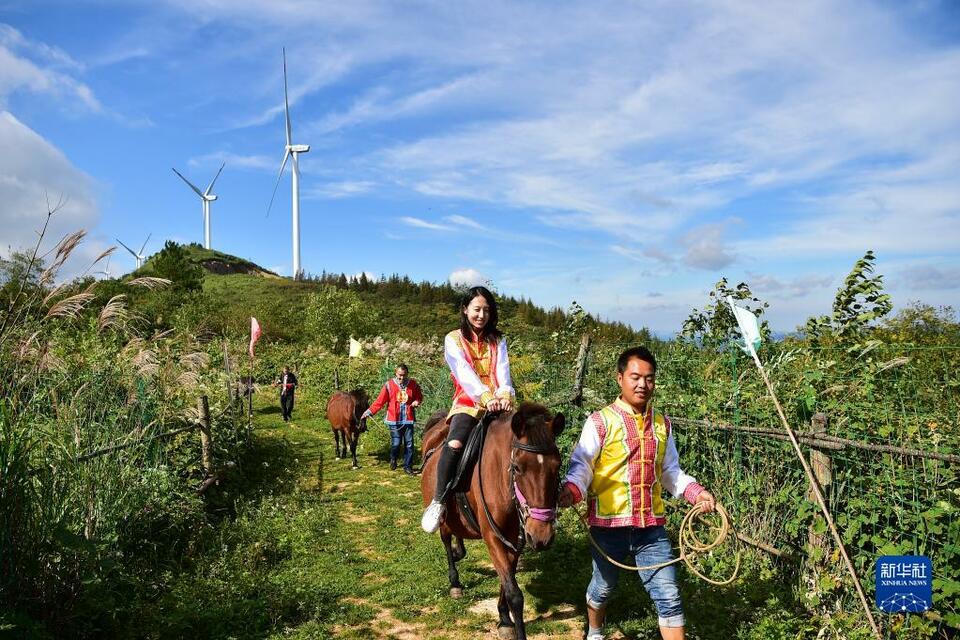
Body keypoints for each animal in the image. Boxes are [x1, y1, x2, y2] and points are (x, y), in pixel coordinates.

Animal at [420, 404, 564, 640]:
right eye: (517, 467)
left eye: (557, 466)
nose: (541, 536)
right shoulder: (493, 538)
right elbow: (515, 594)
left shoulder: (515, 540)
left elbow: (507, 581)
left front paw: (504, 618)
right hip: (443, 518)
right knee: (446, 539)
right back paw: (454, 581)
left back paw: (459, 552)